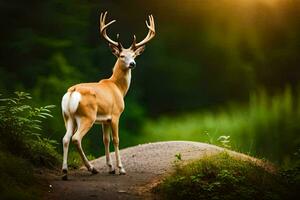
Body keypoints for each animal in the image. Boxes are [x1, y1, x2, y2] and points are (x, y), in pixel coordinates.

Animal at [60, 11, 156, 180]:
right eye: (122, 55)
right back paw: (91, 168)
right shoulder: (116, 114)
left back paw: (65, 172)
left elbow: (105, 140)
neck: (117, 87)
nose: (132, 64)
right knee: (76, 138)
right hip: (87, 116)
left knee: (65, 138)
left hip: (68, 116)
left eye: (134, 55)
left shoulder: (105, 119)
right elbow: (116, 140)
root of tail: (73, 92)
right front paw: (120, 169)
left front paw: (110, 168)